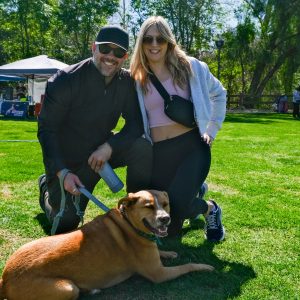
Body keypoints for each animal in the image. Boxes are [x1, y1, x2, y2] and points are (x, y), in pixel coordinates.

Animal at [0, 191, 213, 298]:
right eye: (149, 206)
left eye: (165, 204)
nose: (166, 219)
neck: (129, 223)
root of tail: (5, 279)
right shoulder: (158, 273)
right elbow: (187, 266)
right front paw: (204, 266)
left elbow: (161, 251)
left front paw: (168, 252)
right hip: (67, 288)